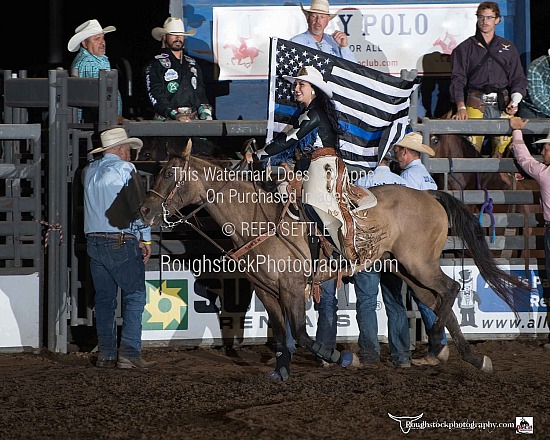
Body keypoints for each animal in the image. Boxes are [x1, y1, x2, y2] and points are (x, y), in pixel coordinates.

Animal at [140, 140, 532, 378]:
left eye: (170, 173)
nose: (144, 210)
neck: (257, 219)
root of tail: (430, 195)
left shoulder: (292, 287)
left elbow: (300, 332)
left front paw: (343, 357)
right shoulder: (266, 291)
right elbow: (280, 332)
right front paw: (281, 370)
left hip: (419, 264)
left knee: (449, 290)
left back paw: (439, 342)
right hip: (404, 268)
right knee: (437, 301)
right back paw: (469, 357)